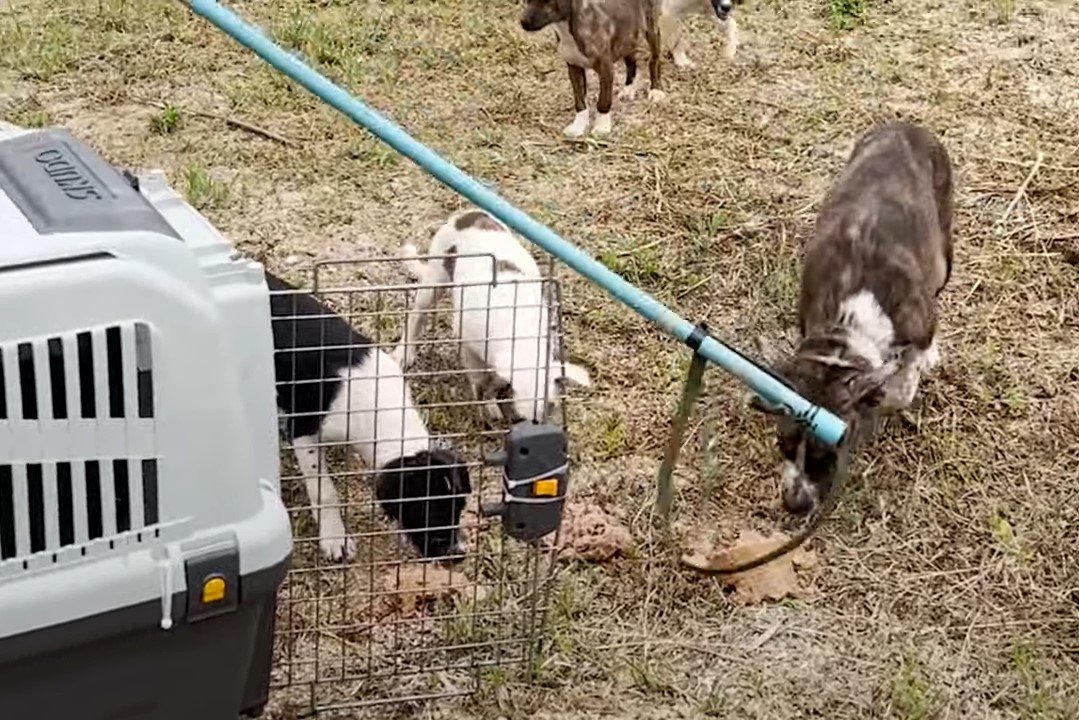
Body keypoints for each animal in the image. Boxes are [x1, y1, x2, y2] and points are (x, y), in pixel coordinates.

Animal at [267, 269, 470, 561]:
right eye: (427, 511)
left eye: (460, 507)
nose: (458, 555)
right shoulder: (303, 429)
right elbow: (324, 491)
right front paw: (334, 538)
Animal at [522, 0, 664, 139]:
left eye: (547, 1)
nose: (523, 22)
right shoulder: (574, 68)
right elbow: (579, 100)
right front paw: (579, 125)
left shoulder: (606, 69)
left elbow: (603, 102)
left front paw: (602, 127)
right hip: (629, 36)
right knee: (631, 63)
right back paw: (628, 89)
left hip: (651, 29)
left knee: (654, 60)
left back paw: (656, 90)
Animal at [750, 124, 953, 515]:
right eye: (782, 444)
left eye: (824, 456)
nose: (794, 503)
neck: (847, 326)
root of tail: (907, 124)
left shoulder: (919, 325)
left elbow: (901, 385)